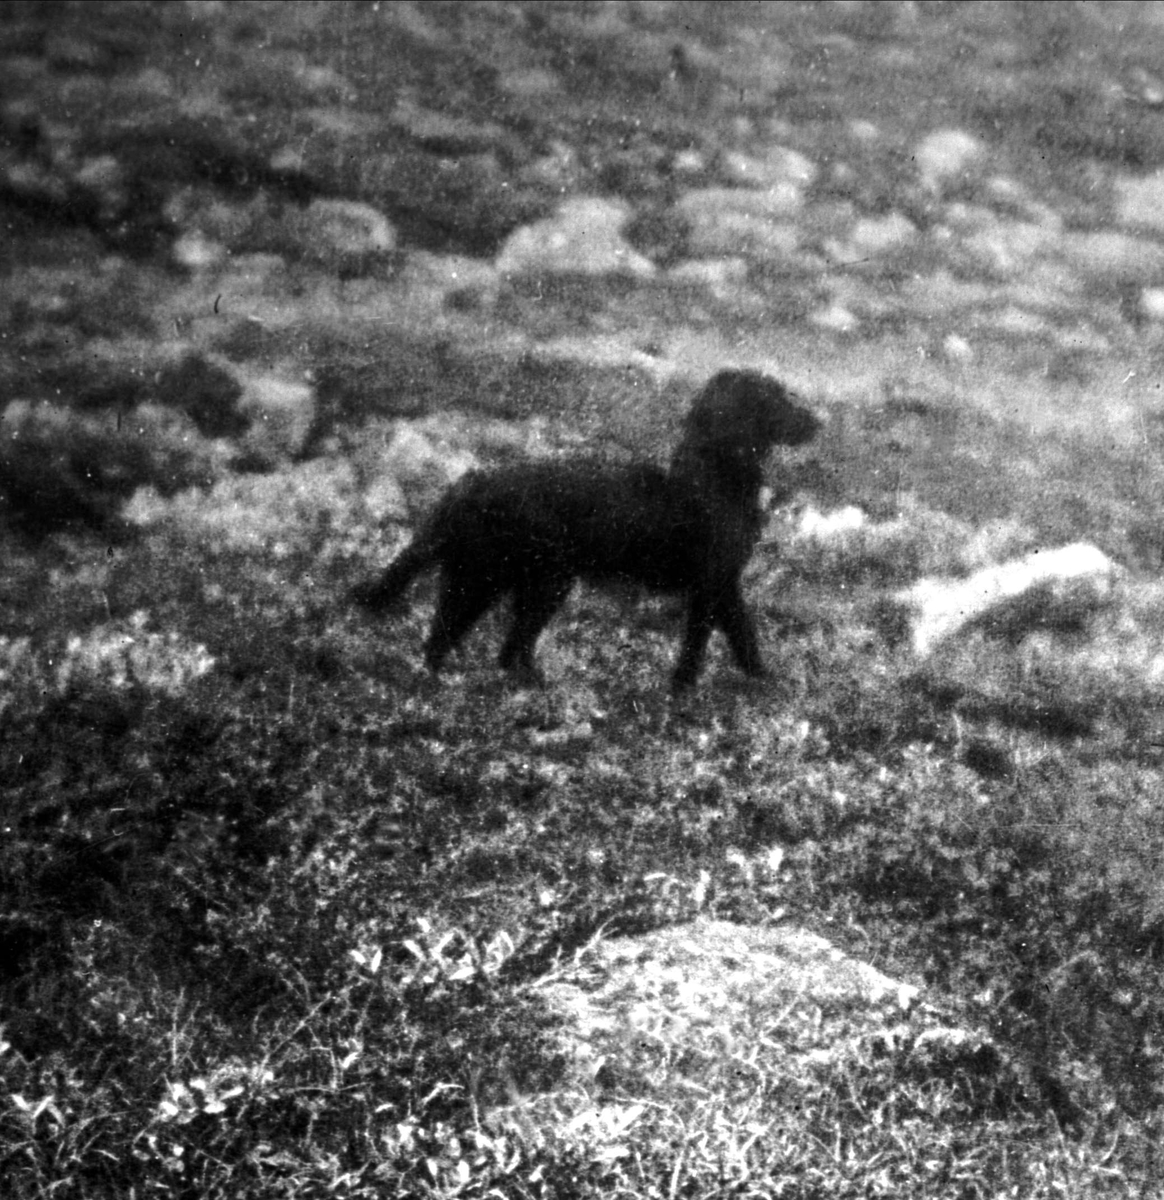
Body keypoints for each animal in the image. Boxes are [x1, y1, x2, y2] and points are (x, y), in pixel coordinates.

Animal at [352, 372, 816, 696]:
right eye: (777, 396)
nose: (818, 421)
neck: (715, 473)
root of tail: (469, 485)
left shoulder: (726, 582)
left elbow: (743, 634)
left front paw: (763, 682)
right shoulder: (711, 582)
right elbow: (700, 645)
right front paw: (683, 693)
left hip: (482, 578)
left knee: (452, 640)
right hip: (537, 580)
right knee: (506, 645)